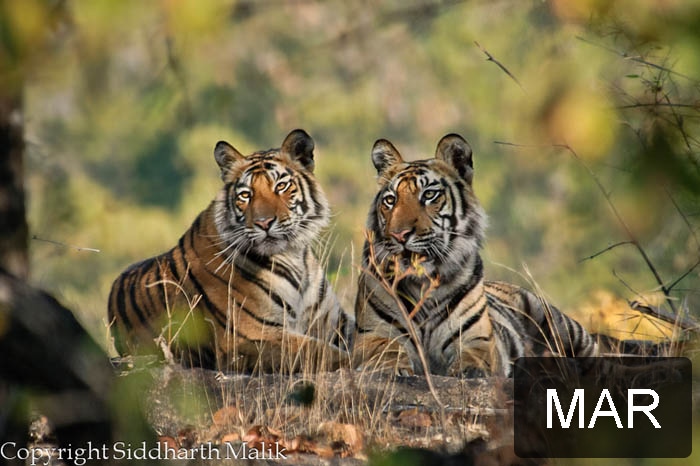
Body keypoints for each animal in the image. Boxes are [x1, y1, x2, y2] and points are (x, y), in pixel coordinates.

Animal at [109, 129, 356, 374]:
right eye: (246, 195)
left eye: (281, 187)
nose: (264, 223)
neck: (293, 256)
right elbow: (320, 351)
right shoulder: (246, 338)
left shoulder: (334, 322)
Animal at [352, 133, 600, 376]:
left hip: (555, 320)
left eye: (429, 195)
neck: (422, 281)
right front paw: (388, 368)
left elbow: (475, 356)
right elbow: (387, 348)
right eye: (390, 200)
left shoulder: (477, 338)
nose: (399, 235)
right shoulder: (371, 333)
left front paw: (470, 369)